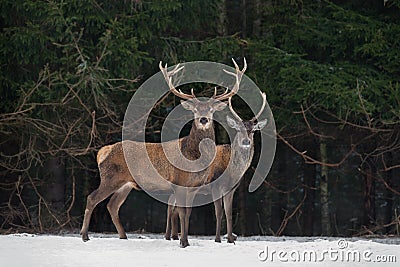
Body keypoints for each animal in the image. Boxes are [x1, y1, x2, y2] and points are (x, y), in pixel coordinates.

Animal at [79, 59, 245, 248]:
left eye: (211, 109)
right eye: (195, 109)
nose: (203, 119)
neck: (193, 156)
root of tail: (102, 152)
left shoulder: (193, 187)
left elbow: (187, 214)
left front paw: (185, 241)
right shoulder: (179, 182)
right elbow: (181, 213)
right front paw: (183, 242)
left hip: (125, 184)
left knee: (112, 205)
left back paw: (123, 237)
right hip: (110, 177)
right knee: (92, 198)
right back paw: (85, 236)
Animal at [164, 92, 268, 245]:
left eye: (253, 131)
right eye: (238, 129)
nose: (246, 141)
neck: (232, 171)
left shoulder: (231, 189)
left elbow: (229, 213)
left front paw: (230, 239)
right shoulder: (215, 185)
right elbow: (219, 213)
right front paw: (218, 239)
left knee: (173, 205)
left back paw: (174, 236)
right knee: (171, 205)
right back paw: (169, 236)